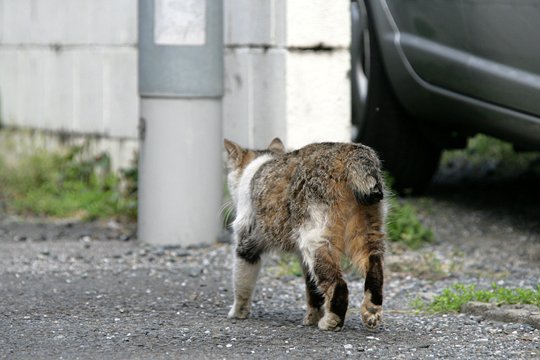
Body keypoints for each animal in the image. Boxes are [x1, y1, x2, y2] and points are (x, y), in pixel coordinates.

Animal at [225, 138, 388, 332]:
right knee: (375, 268)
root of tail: (349, 151)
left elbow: (242, 282)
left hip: (315, 239)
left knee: (338, 284)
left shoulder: (246, 244)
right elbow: (313, 289)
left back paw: (331, 321)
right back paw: (371, 311)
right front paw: (312, 317)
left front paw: (237, 312)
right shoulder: (302, 258)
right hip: (367, 232)